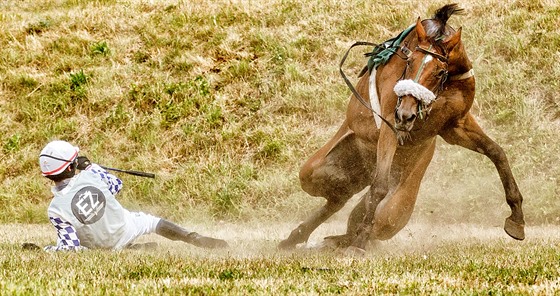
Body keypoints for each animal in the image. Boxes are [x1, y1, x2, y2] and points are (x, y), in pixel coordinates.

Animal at [280, 3, 524, 253]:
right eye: (408, 61)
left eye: (439, 71)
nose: (405, 115)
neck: (446, 86)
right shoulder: (390, 125)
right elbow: (379, 187)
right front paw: (358, 246)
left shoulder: (456, 126)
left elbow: (496, 152)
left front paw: (517, 218)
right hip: (316, 171)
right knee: (338, 196)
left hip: (397, 206)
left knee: (362, 214)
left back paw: (328, 239)